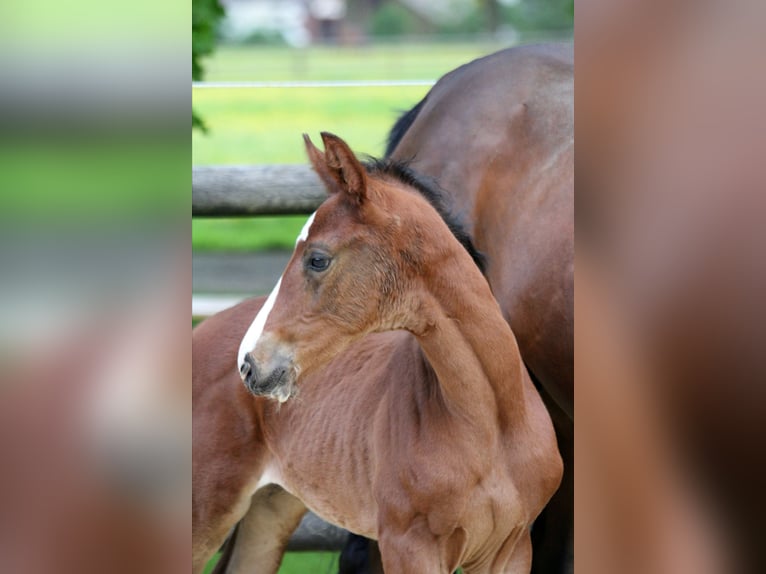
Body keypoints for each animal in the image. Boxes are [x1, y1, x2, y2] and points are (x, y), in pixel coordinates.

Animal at [192, 133, 564, 572]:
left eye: (318, 259)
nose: (249, 364)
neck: (493, 422)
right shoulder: (408, 544)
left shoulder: (511, 547)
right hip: (206, 506)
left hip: (270, 509)